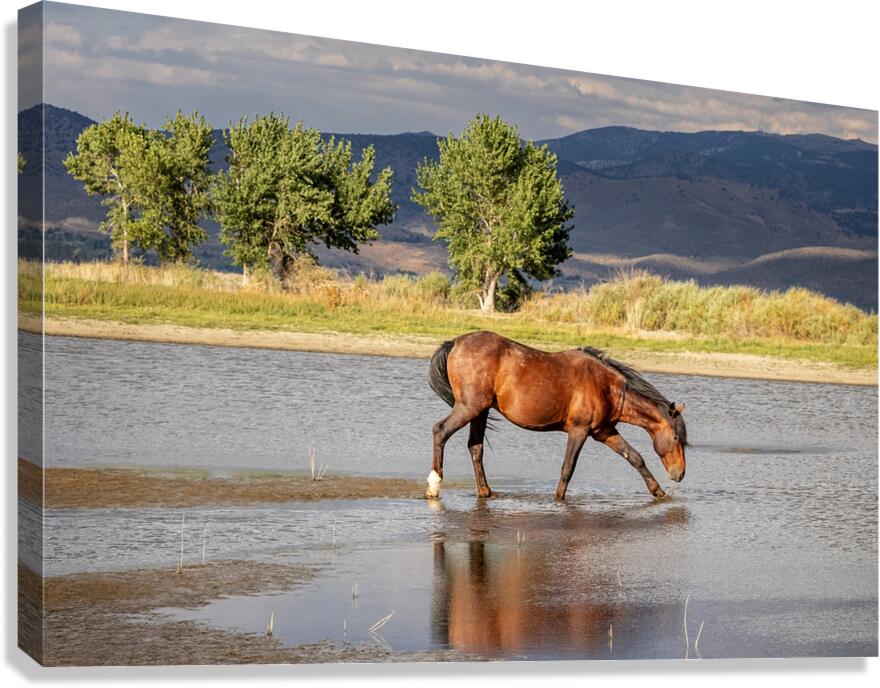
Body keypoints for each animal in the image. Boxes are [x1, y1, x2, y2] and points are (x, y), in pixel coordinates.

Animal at [425, 331, 688, 500]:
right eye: (676, 438)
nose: (680, 474)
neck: (607, 387)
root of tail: (456, 342)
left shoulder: (604, 432)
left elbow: (635, 457)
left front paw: (658, 492)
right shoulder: (579, 431)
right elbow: (568, 467)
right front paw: (559, 498)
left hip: (480, 411)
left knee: (475, 448)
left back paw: (485, 492)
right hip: (469, 407)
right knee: (440, 431)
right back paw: (434, 487)